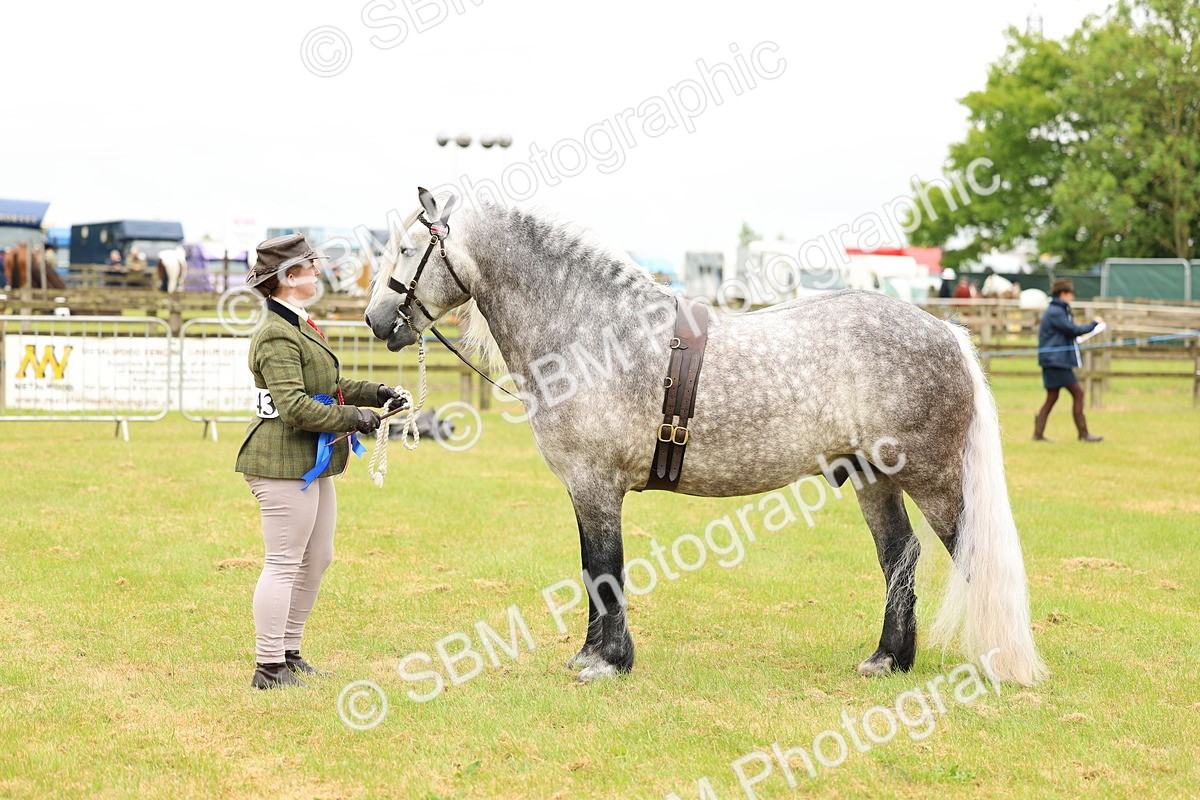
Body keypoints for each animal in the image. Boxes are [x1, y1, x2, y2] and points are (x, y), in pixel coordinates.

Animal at [364, 188, 1047, 686]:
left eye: (407, 248)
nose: (375, 320)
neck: (593, 329)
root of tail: (946, 333)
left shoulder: (595, 485)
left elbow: (604, 568)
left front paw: (608, 663)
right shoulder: (586, 490)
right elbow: (591, 569)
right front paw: (592, 654)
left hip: (935, 480)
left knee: (969, 555)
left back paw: (994, 662)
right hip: (873, 479)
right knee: (899, 557)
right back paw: (888, 660)